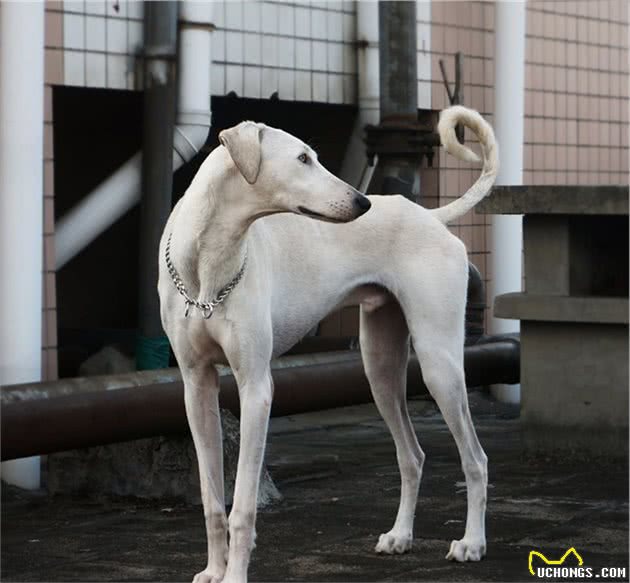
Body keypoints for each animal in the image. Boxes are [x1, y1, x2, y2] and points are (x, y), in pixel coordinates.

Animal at [160, 106, 502, 583]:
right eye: (303, 158)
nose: (363, 203)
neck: (209, 260)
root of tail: (430, 218)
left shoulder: (256, 389)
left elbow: (242, 504)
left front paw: (235, 575)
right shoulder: (196, 386)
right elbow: (212, 499)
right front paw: (214, 570)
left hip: (440, 366)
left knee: (476, 459)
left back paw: (471, 543)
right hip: (379, 369)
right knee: (411, 455)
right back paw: (400, 536)